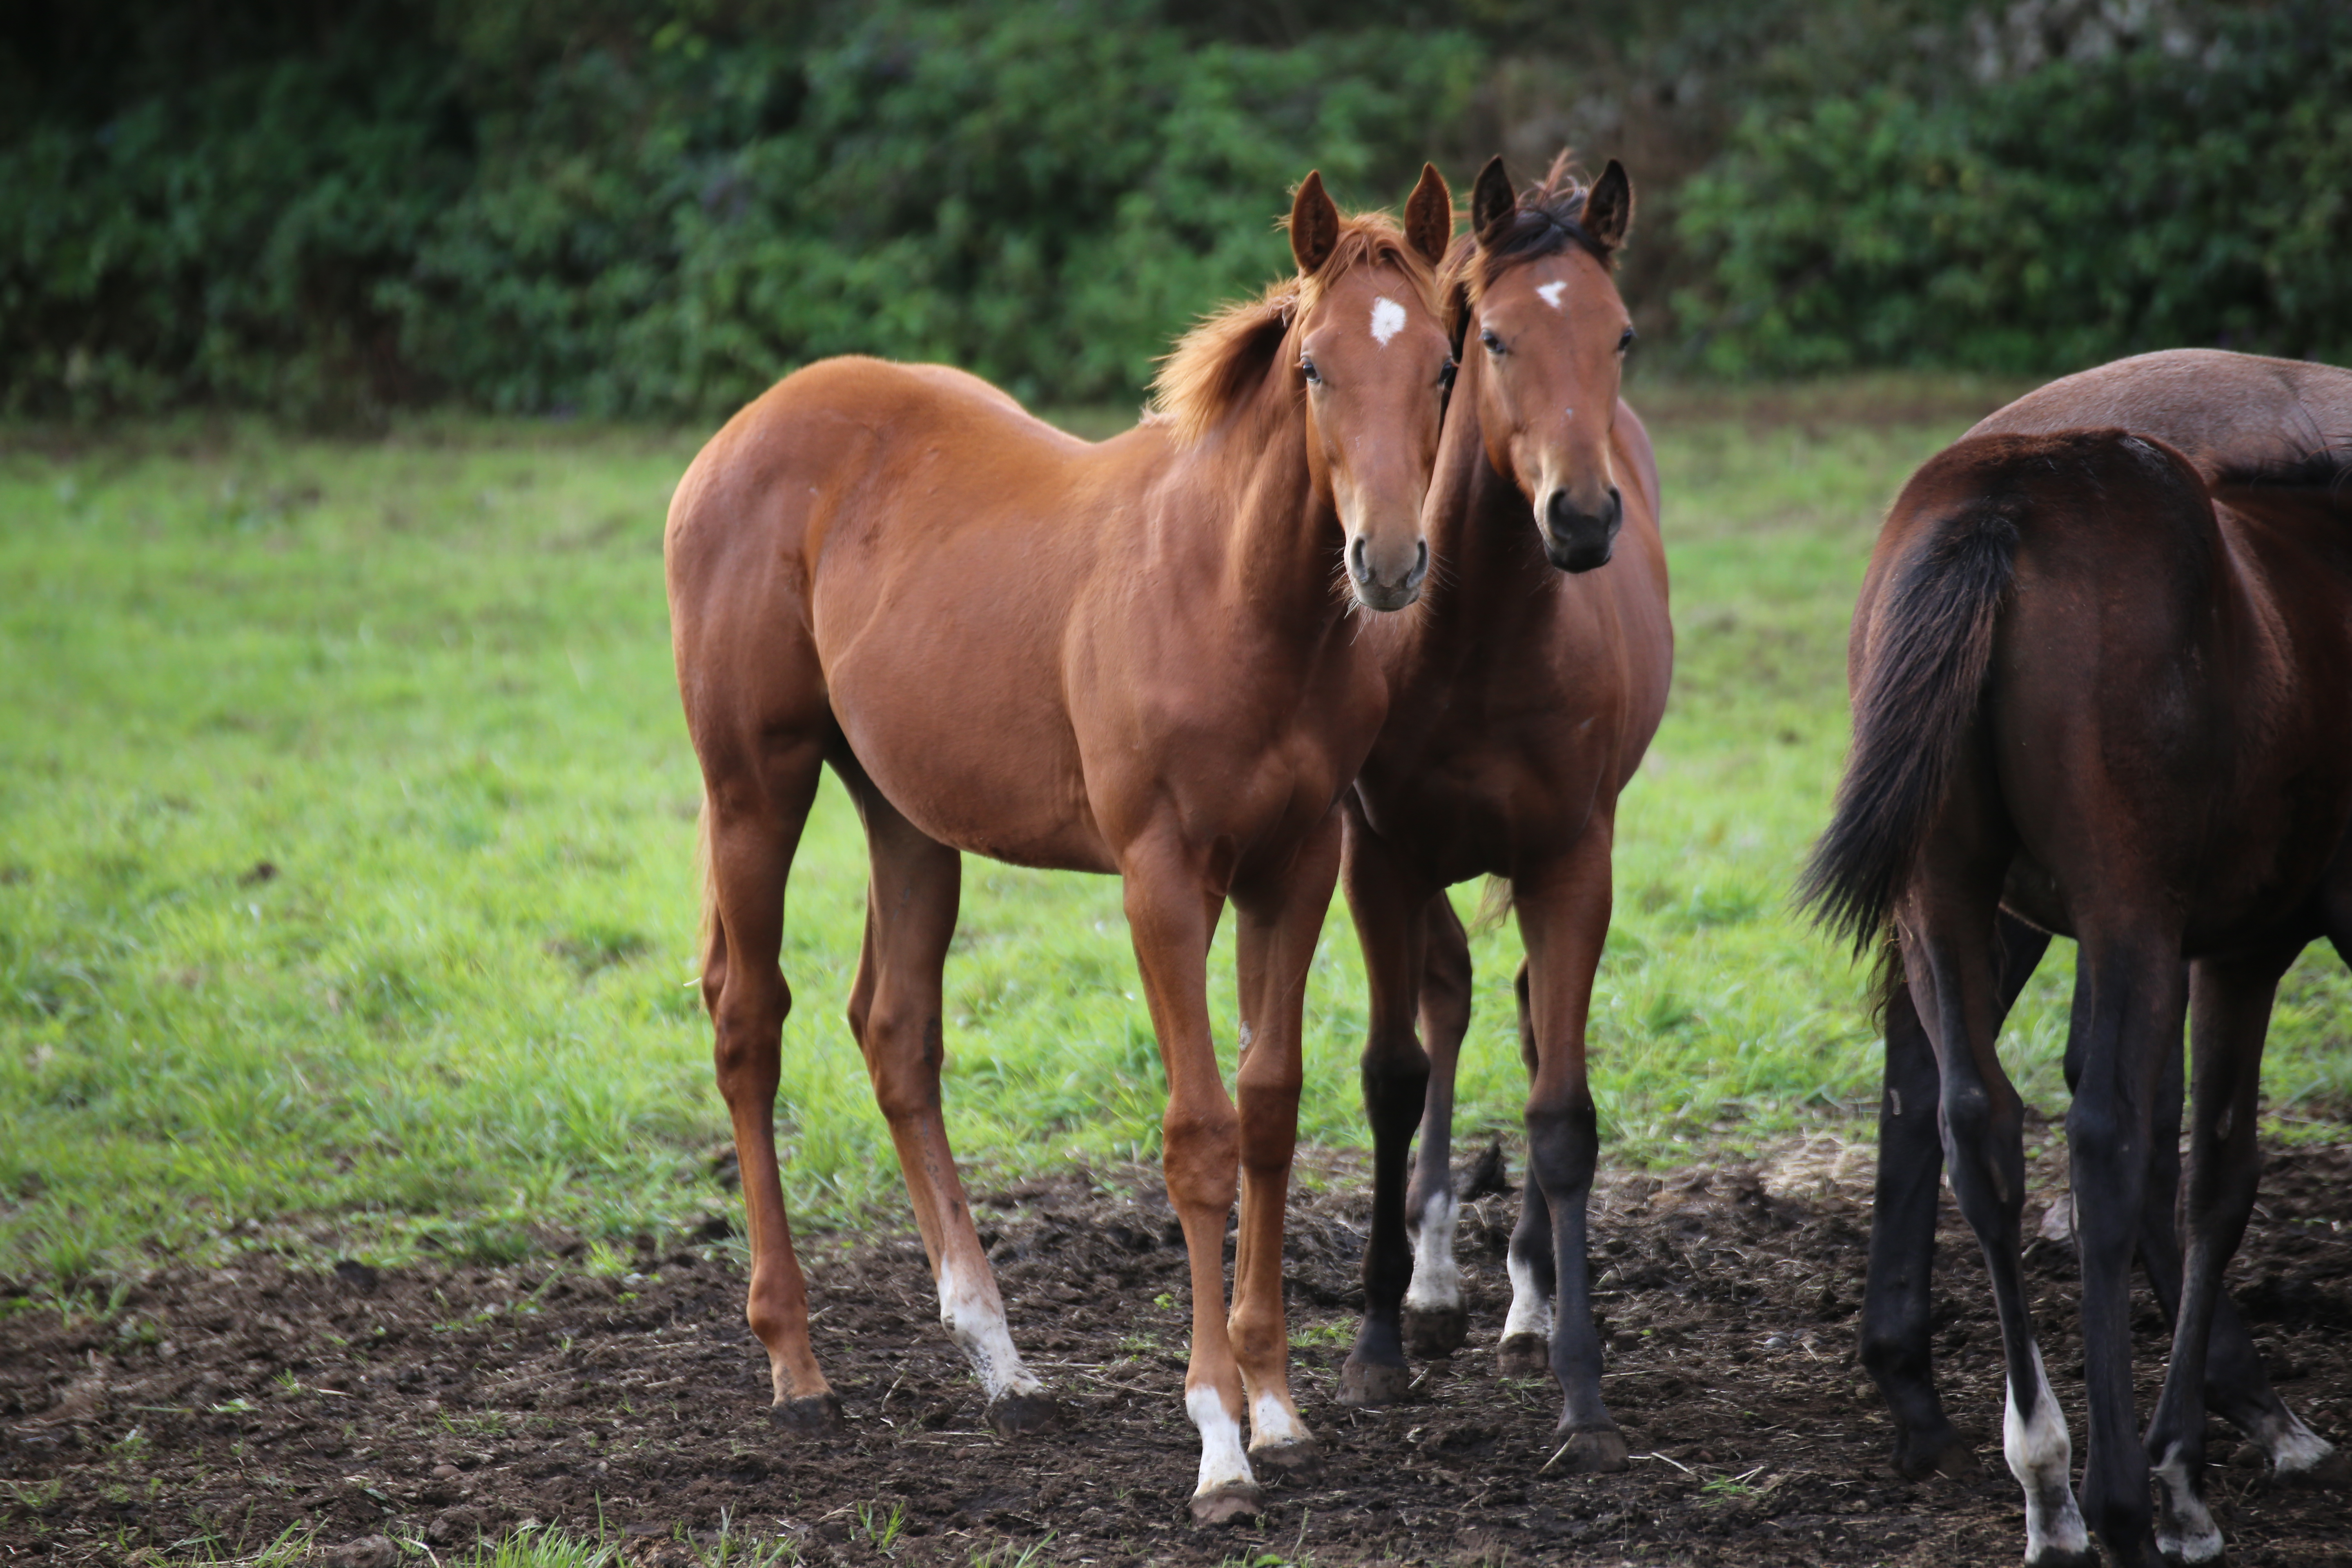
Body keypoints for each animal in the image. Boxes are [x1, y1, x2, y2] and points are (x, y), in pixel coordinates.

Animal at [668, 162, 1468, 1523]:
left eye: (1445, 366)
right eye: (1314, 366)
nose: (1391, 560)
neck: (1236, 595)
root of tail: (739, 434)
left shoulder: (1296, 868)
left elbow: (1269, 1109)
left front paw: (1279, 1404)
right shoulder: (1161, 879)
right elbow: (1198, 1136)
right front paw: (1217, 1439)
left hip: (907, 815)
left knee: (895, 1031)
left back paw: (1001, 1361)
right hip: (753, 785)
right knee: (747, 1019)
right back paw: (798, 1367)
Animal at [1326, 153, 1675, 1476]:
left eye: (1619, 334)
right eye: (1497, 337)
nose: (1580, 519)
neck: (1475, 646)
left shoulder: (1571, 860)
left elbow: (1562, 1113)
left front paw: (1581, 1385)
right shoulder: (1378, 856)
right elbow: (1393, 1075)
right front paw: (1377, 1342)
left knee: (1524, 1019)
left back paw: (1524, 1303)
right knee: (1449, 1001)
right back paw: (1431, 1285)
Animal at [1806, 364, 2352, 1561]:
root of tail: (2002, 499)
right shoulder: (2247, 945)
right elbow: (2216, 1176)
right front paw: (2180, 1467)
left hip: (1946, 890)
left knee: (1976, 1119)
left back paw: (2044, 1476)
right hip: (2122, 908)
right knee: (2106, 1136)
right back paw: (2121, 1499)